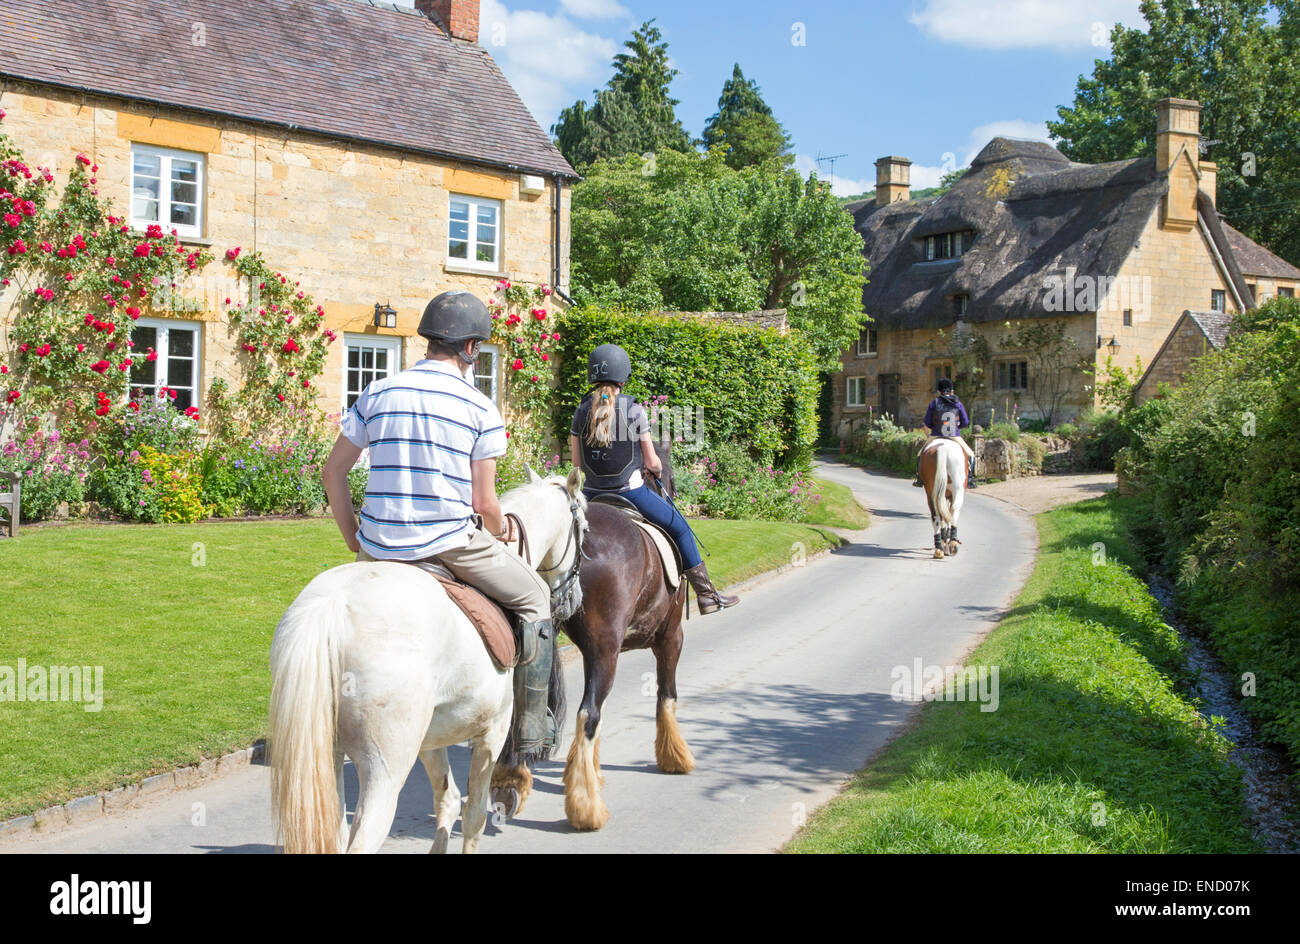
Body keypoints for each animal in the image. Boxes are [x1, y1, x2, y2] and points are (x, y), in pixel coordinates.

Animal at [271, 470, 587, 852]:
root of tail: (330, 607)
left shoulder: (430, 739)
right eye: (584, 529)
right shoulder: (492, 731)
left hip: (326, 758)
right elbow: (474, 816)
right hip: (384, 769)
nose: (575, 599)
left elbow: (447, 801)